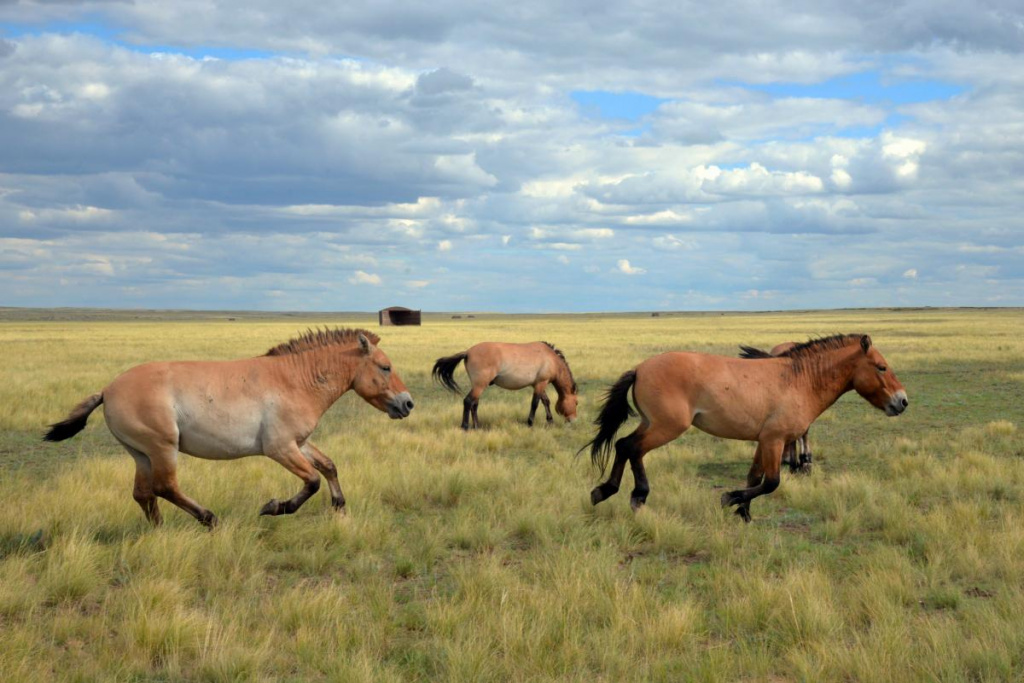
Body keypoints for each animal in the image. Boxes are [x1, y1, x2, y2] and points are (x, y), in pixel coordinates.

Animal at [44, 327, 411, 528]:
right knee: (165, 487)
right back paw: (209, 519)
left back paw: (160, 532)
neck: (295, 380)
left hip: (141, 454)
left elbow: (329, 467)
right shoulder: (279, 448)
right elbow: (312, 481)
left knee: (144, 494)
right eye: (385, 366)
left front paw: (340, 507)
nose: (408, 404)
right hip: (162, 449)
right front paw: (274, 508)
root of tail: (107, 391)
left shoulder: (299, 443)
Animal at [430, 339, 577, 430]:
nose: (573, 420)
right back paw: (465, 427)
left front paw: (550, 421)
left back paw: (477, 426)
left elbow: (545, 401)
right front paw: (530, 423)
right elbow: (535, 403)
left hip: (478, 386)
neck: (551, 358)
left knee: (474, 404)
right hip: (480, 385)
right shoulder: (541, 383)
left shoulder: (538, 384)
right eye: (576, 403)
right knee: (468, 401)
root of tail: (467, 353)